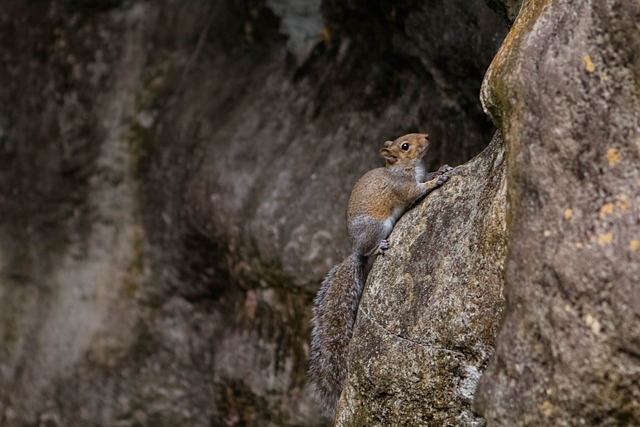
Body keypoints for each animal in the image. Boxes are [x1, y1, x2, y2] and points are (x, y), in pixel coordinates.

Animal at [308, 133, 450, 414]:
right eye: (405, 146)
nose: (427, 136)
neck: (407, 168)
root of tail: (356, 250)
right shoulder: (402, 188)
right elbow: (417, 191)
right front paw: (436, 181)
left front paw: (440, 170)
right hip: (377, 226)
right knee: (371, 249)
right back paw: (379, 247)